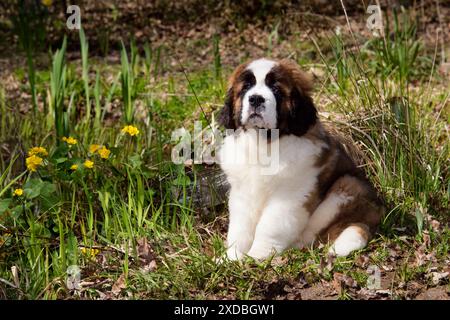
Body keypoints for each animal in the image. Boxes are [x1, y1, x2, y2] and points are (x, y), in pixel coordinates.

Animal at [217, 58, 384, 262]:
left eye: (276, 89)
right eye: (246, 87)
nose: (256, 98)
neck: (264, 143)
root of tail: (377, 215)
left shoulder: (289, 195)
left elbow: (269, 226)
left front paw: (258, 255)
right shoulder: (242, 192)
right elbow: (240, 228)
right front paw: (231, 257)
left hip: (348, 186)